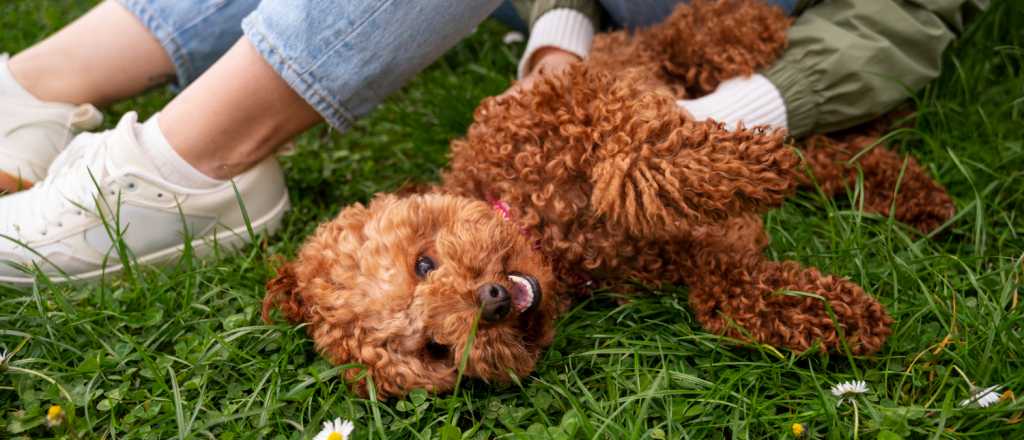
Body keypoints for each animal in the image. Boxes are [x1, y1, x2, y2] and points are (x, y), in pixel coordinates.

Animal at [262, 0, 950, 399]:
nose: (490, 301)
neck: (548, 229)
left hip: (692, 46)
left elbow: (635, 160)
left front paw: (751, 167)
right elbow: (732, 298)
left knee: (732, 32)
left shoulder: (572, 107)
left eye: (423, 263)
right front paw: (848, 316)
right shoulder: (707, 264)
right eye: (434, 349)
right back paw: (912, 193)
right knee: (832, 153)